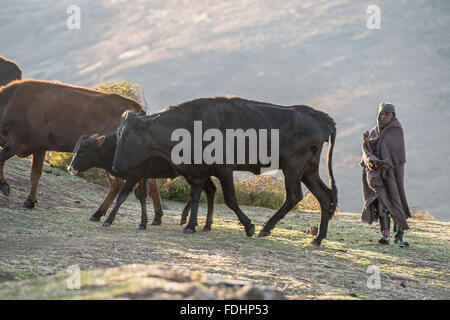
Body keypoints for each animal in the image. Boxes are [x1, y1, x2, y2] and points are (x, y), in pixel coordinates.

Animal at [0, 79, 163, 221]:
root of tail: (137, 108)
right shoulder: (39, 147)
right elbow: (35, 173)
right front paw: (30, 201)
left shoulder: (18, 143)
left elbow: (2, 159)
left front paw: (5, 186)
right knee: (150, 180)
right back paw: (157, 216)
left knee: (117, 183)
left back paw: (99, 213)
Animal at [67, 132, 217, 230]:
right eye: (75, 149)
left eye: (83, 150)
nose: (70, 168)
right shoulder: (142, 176)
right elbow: (142, 197)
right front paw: (143, 223)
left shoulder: (134, 175)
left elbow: (121, 196)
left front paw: (108, 220)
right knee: (210, 190)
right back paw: (204, 224)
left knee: (203, 191)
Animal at [112, 96, 338, 246]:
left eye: (128, 135)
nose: (115, 167)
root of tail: (322, 117)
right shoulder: (196, 172)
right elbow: (196, 196)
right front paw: (191, 225)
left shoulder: (224, 169)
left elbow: (230, 199)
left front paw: (249, 227)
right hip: (308, 170)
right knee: (324, 196)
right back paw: (318, 238)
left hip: (292, 167)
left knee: (293, 196)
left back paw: (266, 228)